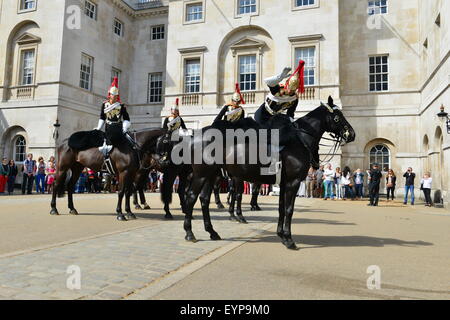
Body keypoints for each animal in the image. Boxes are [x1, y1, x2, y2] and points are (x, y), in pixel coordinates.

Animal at [161, 99, 356, 249]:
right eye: (337, 117)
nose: (352, 134)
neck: (299, 139)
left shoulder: (284, 183)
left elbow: (281, 208)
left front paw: (281, 235)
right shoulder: (293, 182)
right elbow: (289, 209)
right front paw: (289, 239)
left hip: (211, 175)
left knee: (204, 200)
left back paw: (212, 231)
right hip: (201, 175)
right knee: (191, 198)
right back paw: (189, 232)